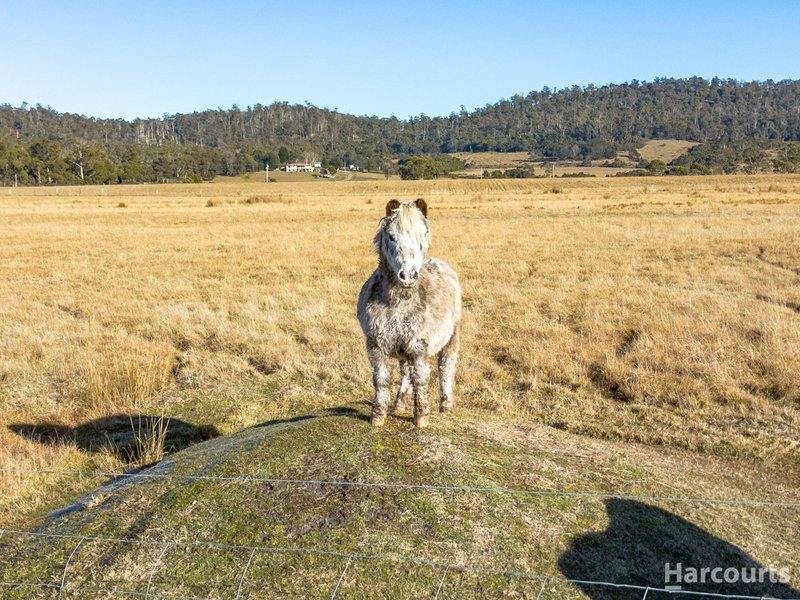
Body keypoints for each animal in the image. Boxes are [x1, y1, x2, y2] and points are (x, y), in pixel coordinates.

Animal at [358, 199, 462, 428]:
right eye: (391, 236)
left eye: (423, 234)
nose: (407, 276)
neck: (399, 303)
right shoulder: (376, 344)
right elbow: (381, 380)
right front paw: (378, 416)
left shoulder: (419, 345)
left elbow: (421, 379)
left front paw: (421, 417)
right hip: (402, 347)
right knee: (405, 372)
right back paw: (399, 404)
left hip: (451, 337)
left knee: (446, 367)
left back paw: (446, 405)